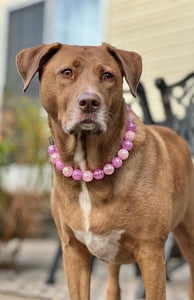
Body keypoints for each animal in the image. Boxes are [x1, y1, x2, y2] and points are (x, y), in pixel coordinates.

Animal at [16, 44, 194, 300]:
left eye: (108, 76)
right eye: (67, 72)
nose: (90, 101)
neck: (88, 168)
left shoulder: (151, 252)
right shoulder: (73, 252)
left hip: (188, 234)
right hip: (111, 254)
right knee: (113, 285)